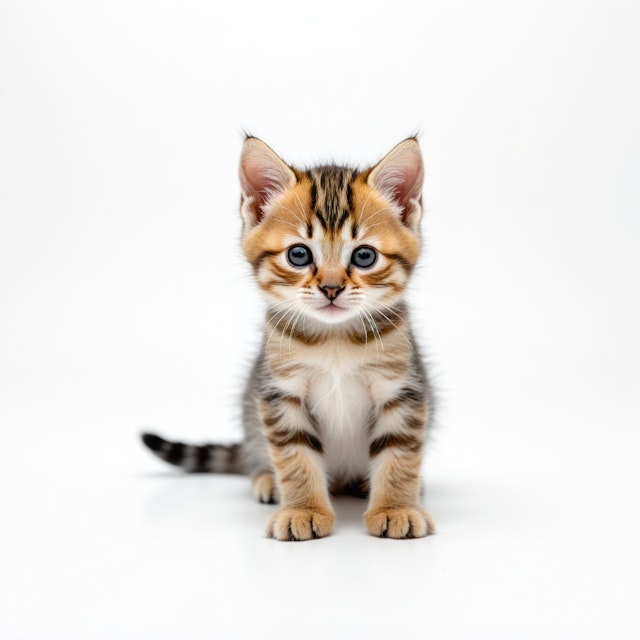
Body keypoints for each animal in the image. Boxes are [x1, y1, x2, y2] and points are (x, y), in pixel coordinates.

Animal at [141, 136, 436, 540]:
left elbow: (400, 454)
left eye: (364, 256)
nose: (331, 288)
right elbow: (294, 456)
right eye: (299, 254)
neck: (335, 340)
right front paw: (303, 510)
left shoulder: (402, 390)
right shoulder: (280, 394)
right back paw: (267, 480)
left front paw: (395, 507)